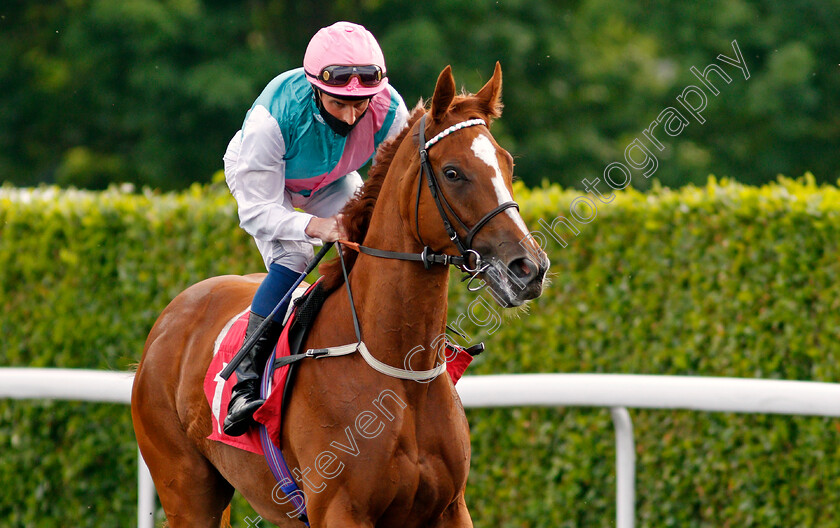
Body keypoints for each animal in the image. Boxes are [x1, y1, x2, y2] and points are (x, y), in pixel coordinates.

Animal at [131, 65, 548, 528]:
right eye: (453, 172)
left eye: (508, 163)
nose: (528, 267)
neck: (401, 374)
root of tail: (170, 317)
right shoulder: (339, 509)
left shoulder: (450, 507)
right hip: (186, 491)